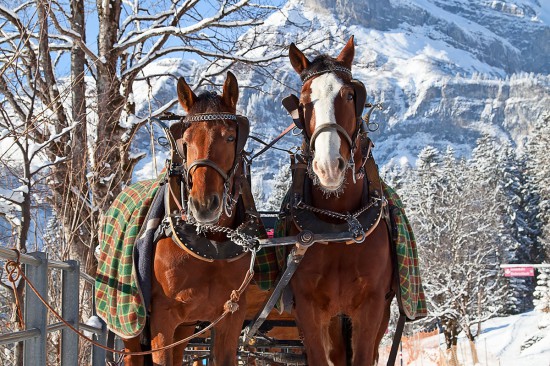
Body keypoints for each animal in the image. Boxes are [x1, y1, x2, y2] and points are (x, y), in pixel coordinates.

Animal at [124, 70, 262, 364]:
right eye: (185, 142)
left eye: (231, 137)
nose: (203, 205)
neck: (211, 244)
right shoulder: (162, 321)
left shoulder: (230, 317)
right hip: (131, 323)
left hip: (185, 327)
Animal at [284, 37, 396, 364]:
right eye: (303, 102)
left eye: (349, 95)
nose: (328, 166)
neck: (339, 224)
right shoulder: (308, 309)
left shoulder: (371, 308)